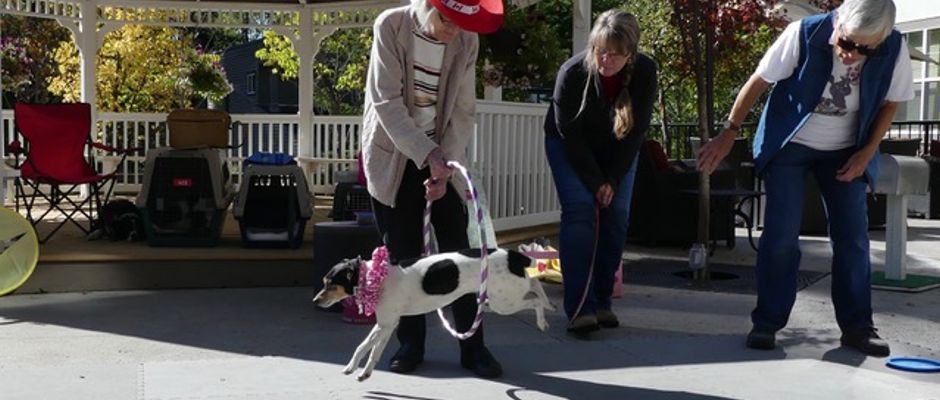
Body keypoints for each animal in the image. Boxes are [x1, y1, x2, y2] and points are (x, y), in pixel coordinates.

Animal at [312, 247, 556, 382]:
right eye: (324, 282)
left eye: (331, 284)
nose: (315, 301)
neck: (374, 277)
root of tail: (514, 256)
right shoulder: (384, 325)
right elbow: (367, 349)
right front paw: (356, 370)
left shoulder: (386, 326)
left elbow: (368, 349)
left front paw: (359, 371)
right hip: (502, 296)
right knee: (534, 283)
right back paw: (548, 305)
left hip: (504, 302)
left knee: (534, 297)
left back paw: (543, 319)